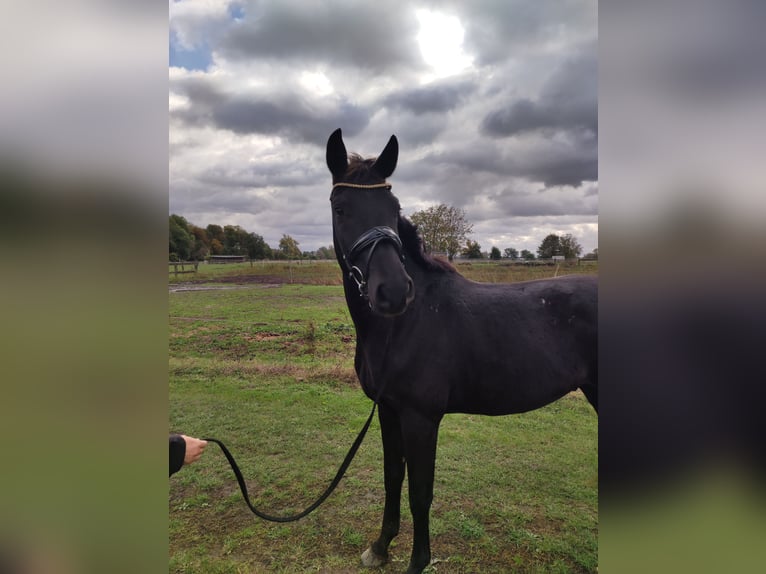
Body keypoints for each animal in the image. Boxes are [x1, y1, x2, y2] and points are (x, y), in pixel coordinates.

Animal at [328, 130, 596, 574]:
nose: (393, 291)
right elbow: (392, 477)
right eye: (341, 208)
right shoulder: (388, 411)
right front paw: (380, 547)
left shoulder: (421, 418)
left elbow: (420, 493)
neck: (405, 323)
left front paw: (417, 562)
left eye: (394, 209)